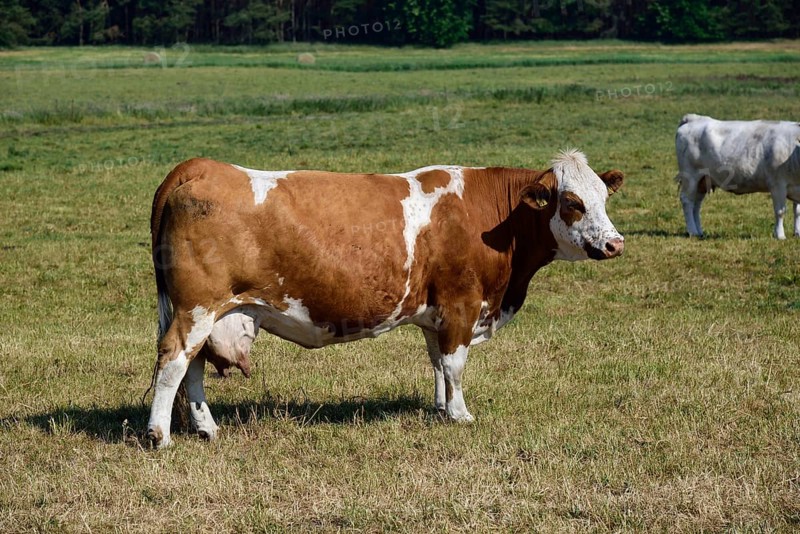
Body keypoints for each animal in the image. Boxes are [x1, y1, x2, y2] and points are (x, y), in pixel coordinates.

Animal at [146, 150, 625, 448]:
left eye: (604, 197)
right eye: (573, 203)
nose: (615, 243)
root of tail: (201, 166)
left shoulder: (437, 313)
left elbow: (437, 363)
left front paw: (441, 407)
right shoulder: (461, 305)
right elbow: (455, 363)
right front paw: (460, 415)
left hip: (208, 311)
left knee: (193, 365)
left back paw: (207, 428)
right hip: (196, 308)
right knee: (174, 360)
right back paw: (159, 434)